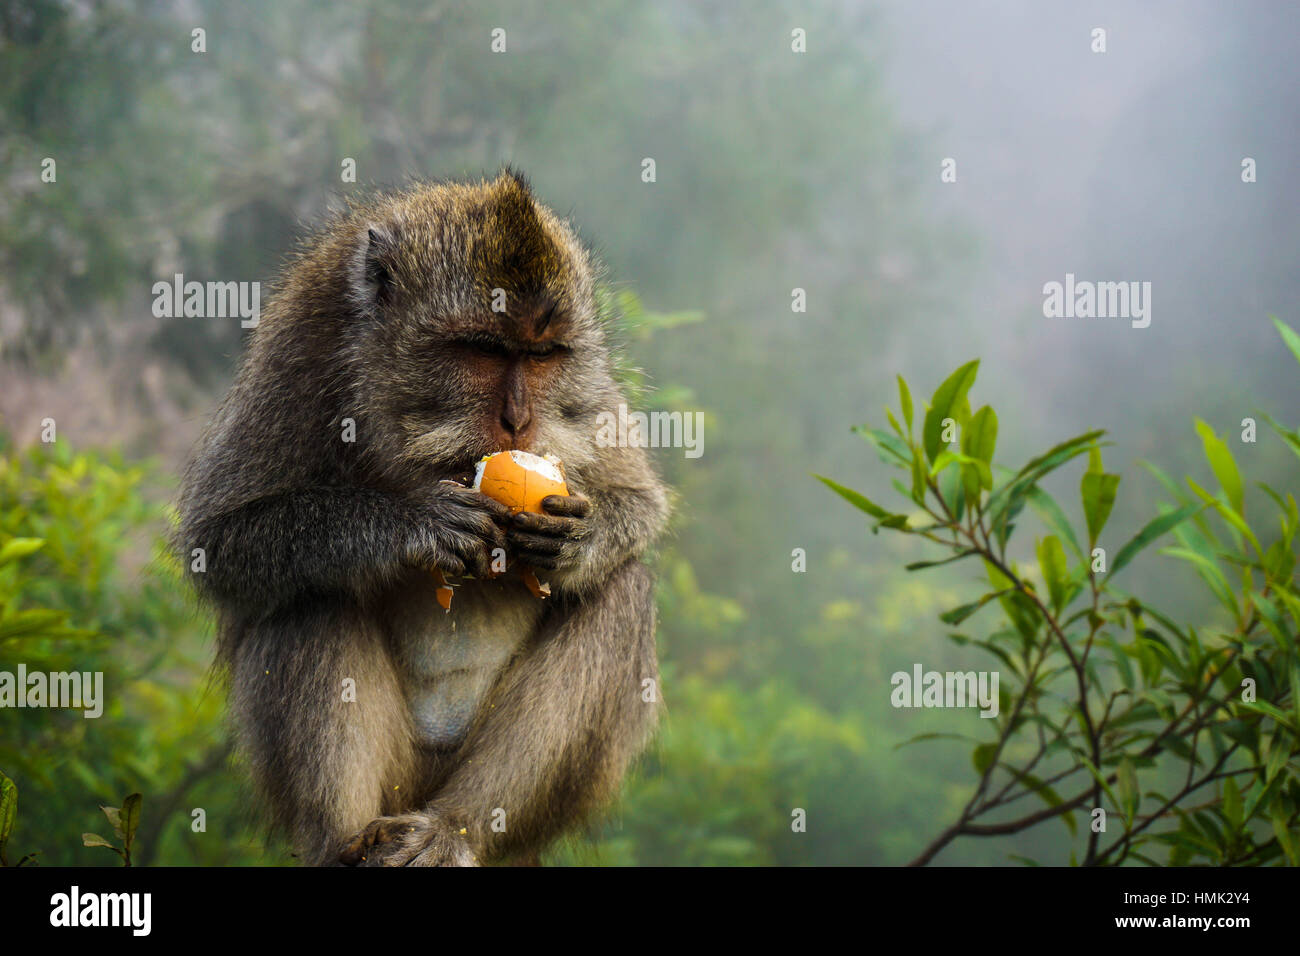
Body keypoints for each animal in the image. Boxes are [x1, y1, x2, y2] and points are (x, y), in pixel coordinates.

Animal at [176, 170, 670, 868]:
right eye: (481, 351)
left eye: (543, 356)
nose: (518, 420)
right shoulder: (299, 349)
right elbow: (219, 540)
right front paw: (413, 525)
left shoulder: (586, 388)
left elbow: (640, 500)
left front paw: (579, 539)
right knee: (309, 595)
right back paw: (343, 841)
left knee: (620, 592)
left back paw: (452, 829)